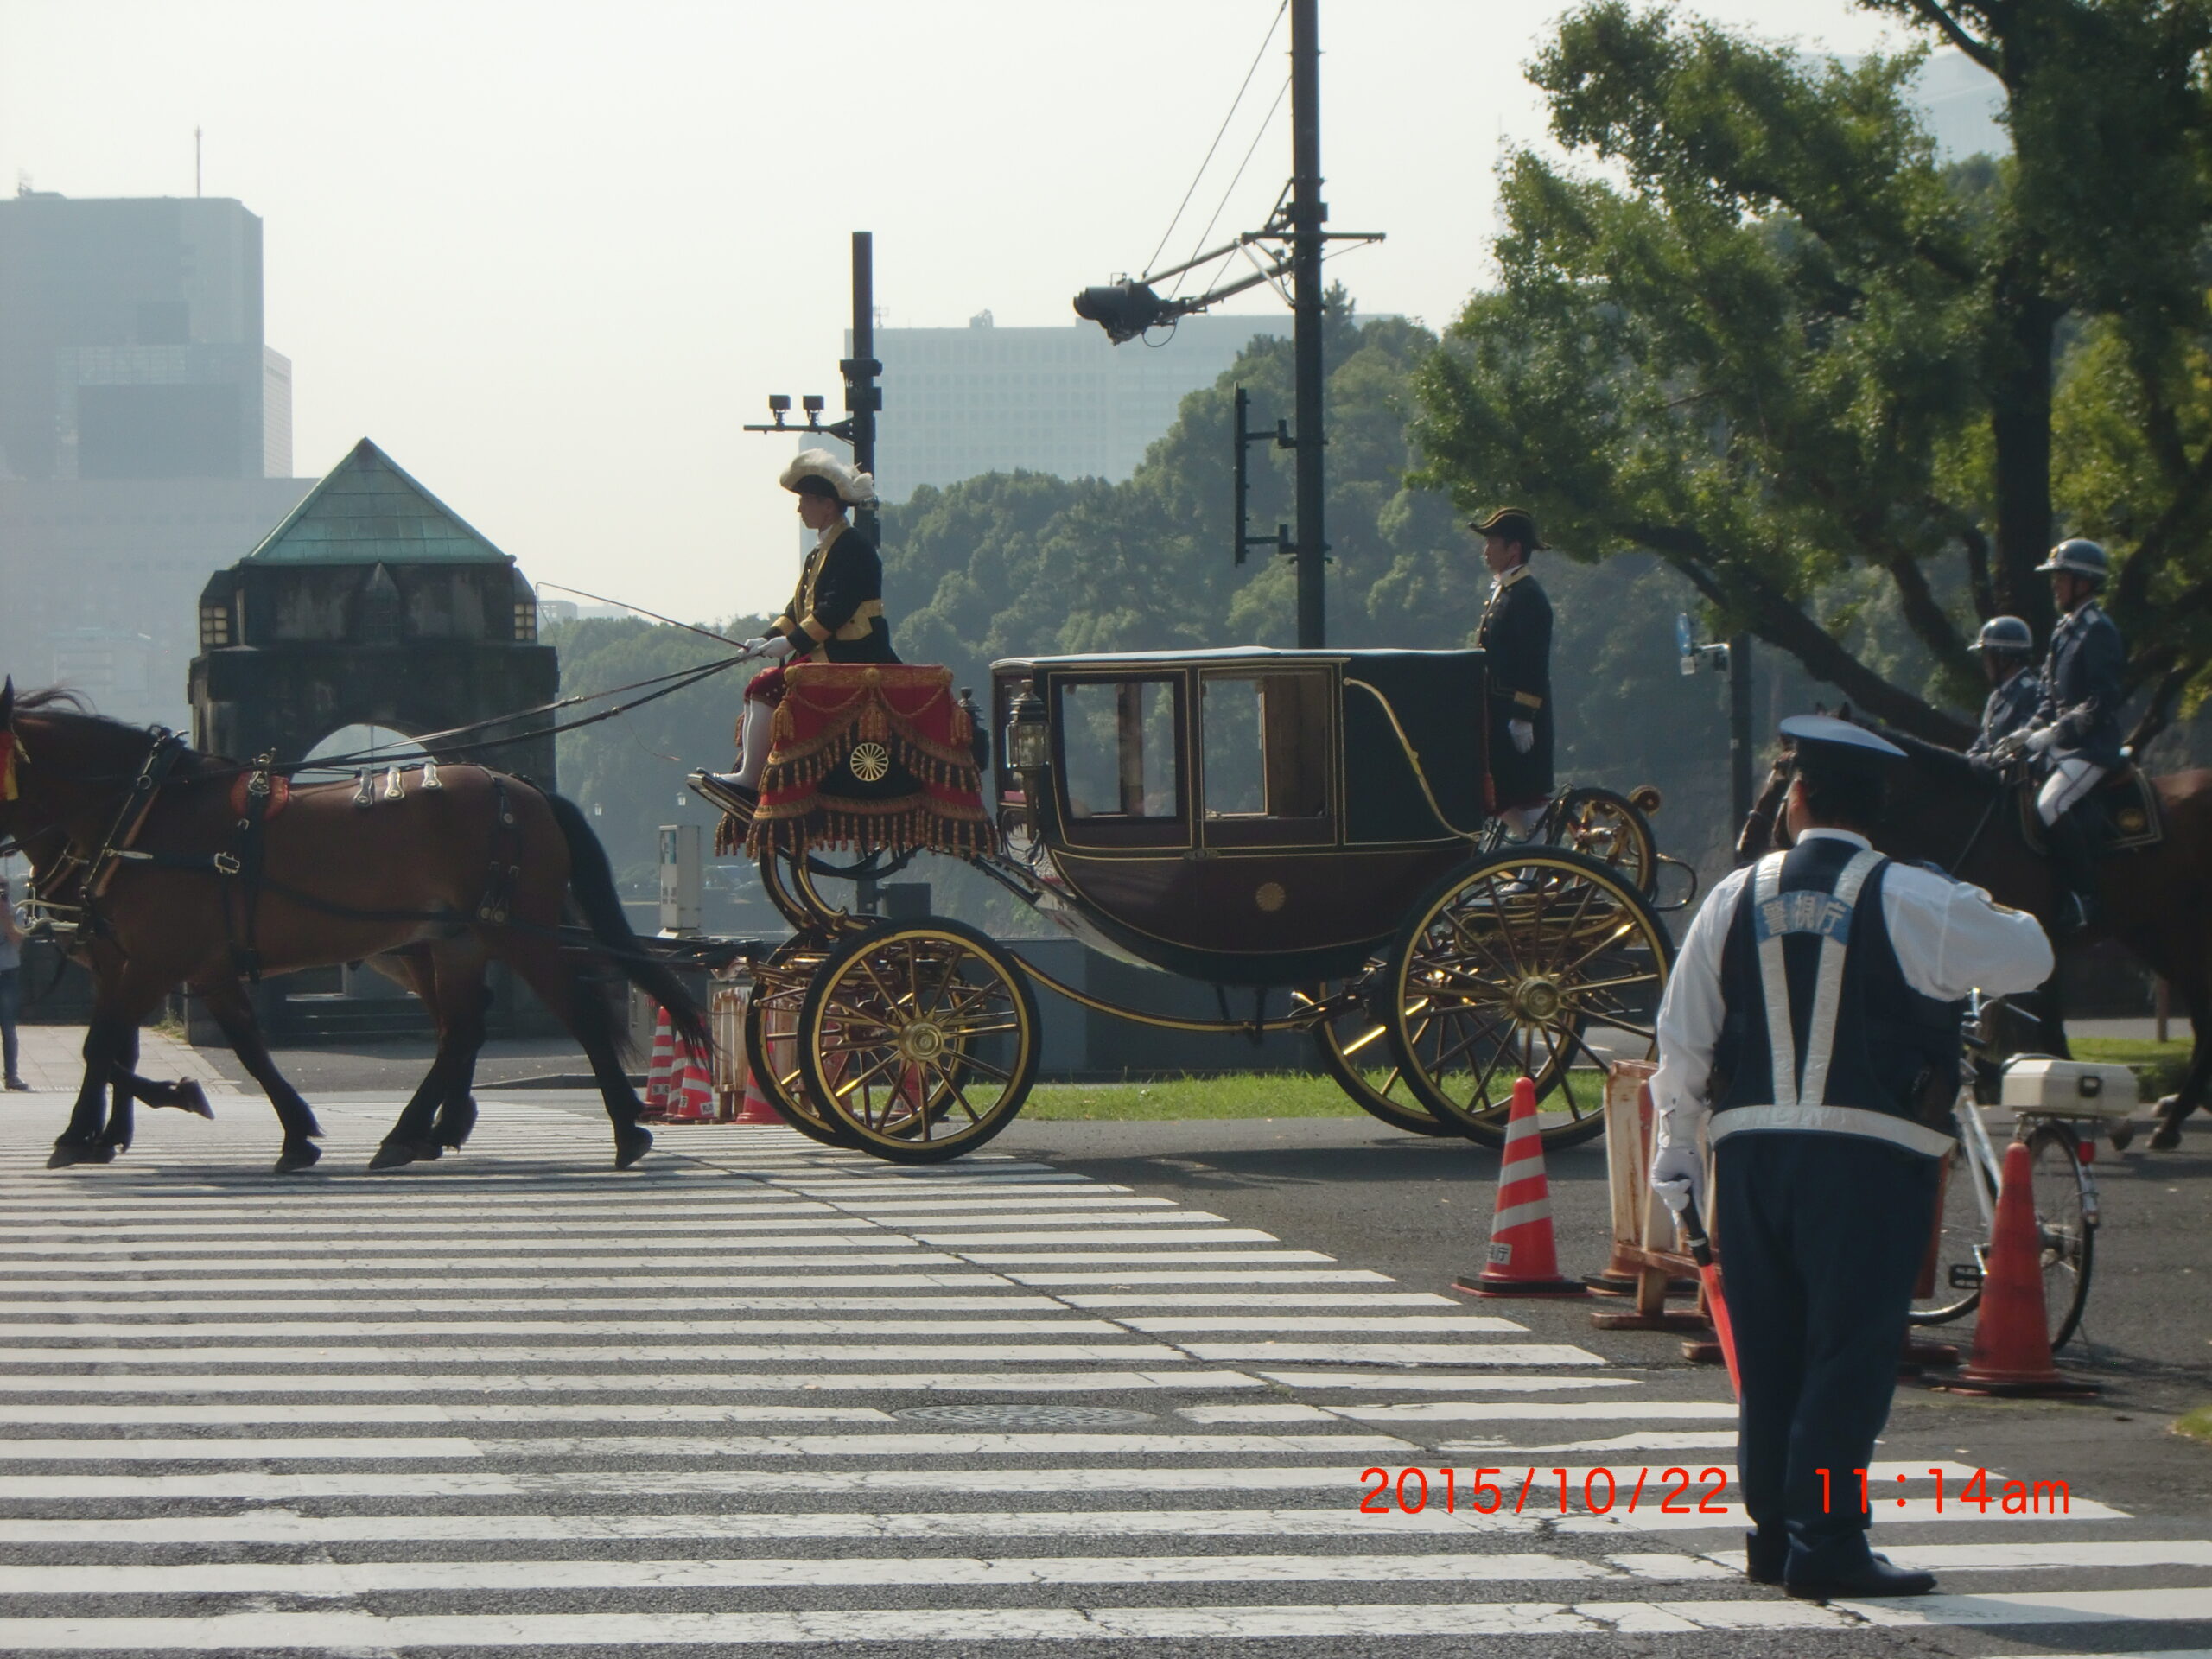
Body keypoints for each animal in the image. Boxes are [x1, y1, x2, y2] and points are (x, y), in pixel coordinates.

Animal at [0, 681, 708, 1176]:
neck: (144, 809)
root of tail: (523, 787)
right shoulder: (189, 966)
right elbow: (233, 1048)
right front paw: (292, 1131)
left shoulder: (152, 958)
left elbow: (104, 1048)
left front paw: (162, 1102)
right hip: (457, 940)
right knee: (461, 1029)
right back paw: (417, 1131)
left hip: (517, 933)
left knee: (575, 1013)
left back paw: (624, 1130)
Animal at [1734, 725, 2212, 1159]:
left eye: (1782, 770)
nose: (1746, 845)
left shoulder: (2022, 937)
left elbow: (2041, 1023)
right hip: (2155, 934)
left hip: (2180, 934)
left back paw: (2170, 1120)